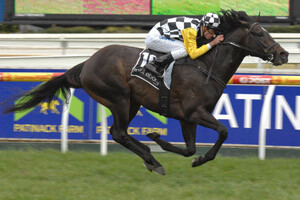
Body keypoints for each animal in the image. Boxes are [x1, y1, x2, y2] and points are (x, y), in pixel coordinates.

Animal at [2, 10, 288, 175]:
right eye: (259, 33)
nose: (284, 54)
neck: (206, 65)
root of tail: (88, 63)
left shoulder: (186, 116)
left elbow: (189, 149)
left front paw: (161, 141)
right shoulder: (195, 112)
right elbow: (223, 132)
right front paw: (195, 158)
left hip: (131, 103)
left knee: (119, 133)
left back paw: (149, 157)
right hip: (118, 97)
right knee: (118, 132)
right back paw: (152, 159)